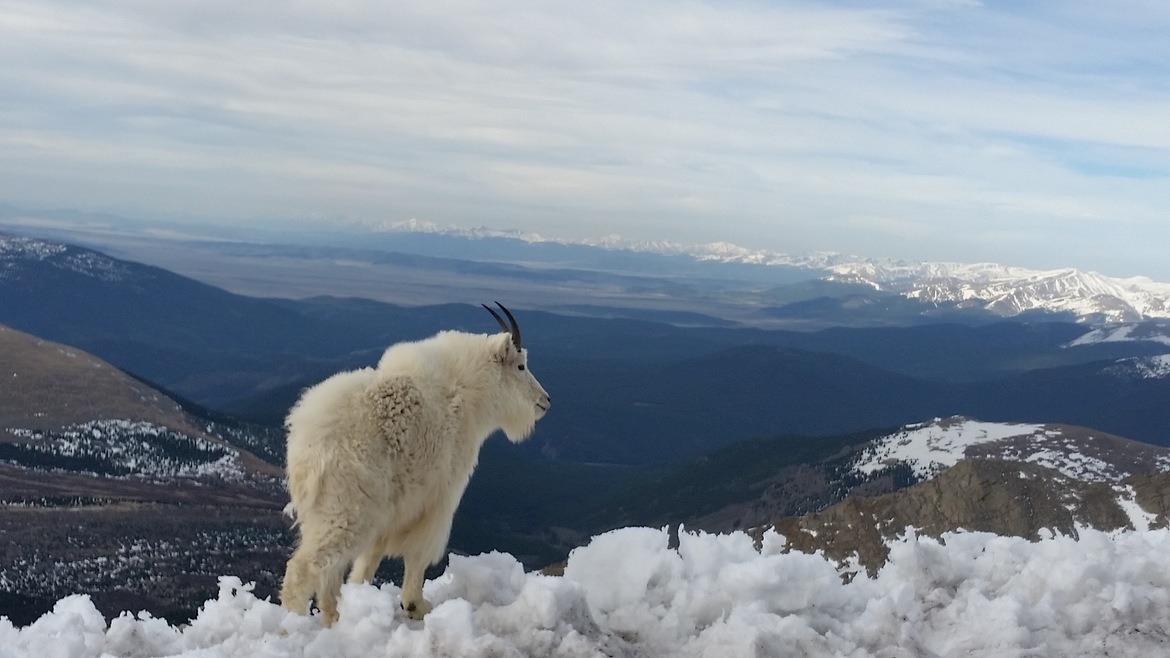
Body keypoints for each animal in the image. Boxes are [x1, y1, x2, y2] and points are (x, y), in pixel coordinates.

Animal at [278, 303, 551, 625]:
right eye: (520, 366)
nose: (545, 400)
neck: (469, 394)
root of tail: (306, 443)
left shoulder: (390, 512)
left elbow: (368, 560)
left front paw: (363, 594)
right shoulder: (439, 498)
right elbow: (418, 554)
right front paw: (415, 605)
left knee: (330, 571)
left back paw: (334, 618)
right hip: (346, 509)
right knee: (304, 569)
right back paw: (291, 625)